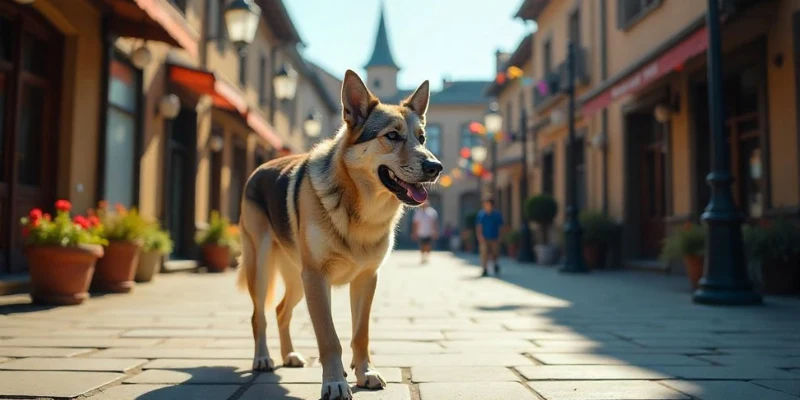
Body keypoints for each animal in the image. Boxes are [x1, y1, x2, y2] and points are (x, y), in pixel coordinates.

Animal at [236, 70, 444, 398]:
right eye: (392, 136)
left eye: (422, 138)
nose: (436, 166)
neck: (360, 211)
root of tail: (260, 168)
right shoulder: (318, 278)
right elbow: (329, 338)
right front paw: (335, 382)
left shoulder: (366, 279)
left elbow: (361, 334)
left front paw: (365, 372)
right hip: (263, 270)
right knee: (260, 316)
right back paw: (263, 358)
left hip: (298, 281)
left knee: (281, 311)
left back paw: (289, 355)